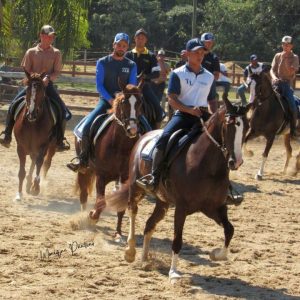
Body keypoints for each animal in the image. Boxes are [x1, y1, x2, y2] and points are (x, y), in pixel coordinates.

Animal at [13, 71, 58, 200]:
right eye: (28, 88)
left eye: (42, 90)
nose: (31, 113)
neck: (32, 123)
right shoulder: (21, 147)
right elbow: (21, 171)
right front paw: (19, 194)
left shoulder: (44, 145)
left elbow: (39, 163)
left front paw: (36, 188)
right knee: (33, 161)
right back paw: (28, 183)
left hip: (51, 147)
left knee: (45, 163)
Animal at [75, 81, 145, 238]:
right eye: (124, 102)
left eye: (139, 102)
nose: (132, 130)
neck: (120, 145)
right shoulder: (102, 176)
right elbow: (101, 203)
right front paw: (92, 216)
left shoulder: (124, 179)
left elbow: (121, 207)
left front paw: (118, 233)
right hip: (84, 170)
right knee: (83, 193)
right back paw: (82, 216)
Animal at [104, 98, 250, 282]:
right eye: (229, 124)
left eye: (247, 126)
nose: (236, 161)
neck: (207, 165)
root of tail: (144, 136)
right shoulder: (181, 208)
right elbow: (177, 239)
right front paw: (173, 272)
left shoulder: (214, 208)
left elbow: (229, 230)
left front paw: (216, 254)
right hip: (135, 188)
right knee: (132, 210)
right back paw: (130, 251)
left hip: (163, 202)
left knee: (149, 224)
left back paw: (144, 260)